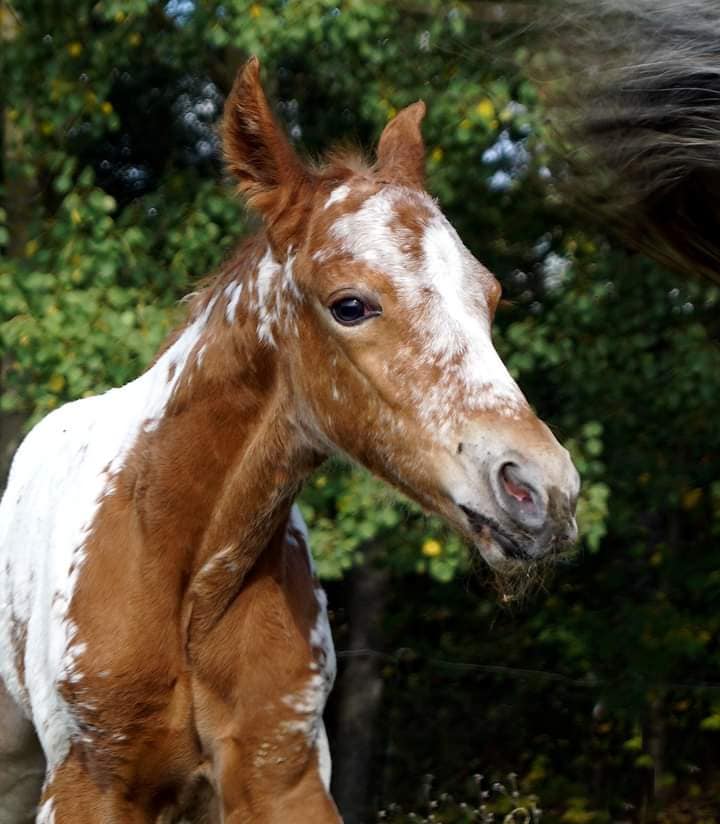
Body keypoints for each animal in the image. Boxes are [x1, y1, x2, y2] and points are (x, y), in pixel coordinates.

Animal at [0, 61, 580, 820]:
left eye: (489, 297)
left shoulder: (283, 773)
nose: (543, 489)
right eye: (350, 305)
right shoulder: (86, 784)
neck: (182, 568)